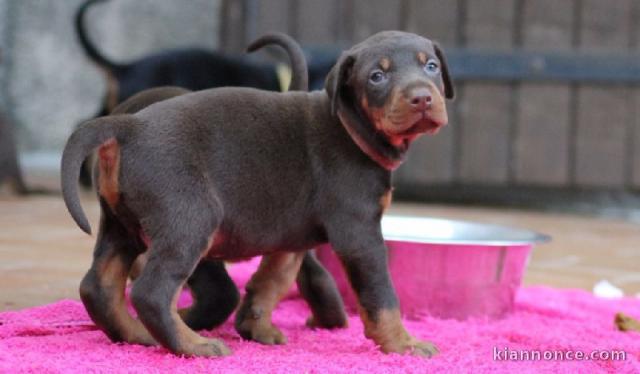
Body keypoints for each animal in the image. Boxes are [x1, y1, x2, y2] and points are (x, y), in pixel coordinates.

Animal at [58, 30, 450, 358]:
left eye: (430, 66)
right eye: (376, 76)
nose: (422, 98)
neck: (350, 127)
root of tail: (129, 125)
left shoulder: (291, 234)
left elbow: (272, 280)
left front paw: (255, 326)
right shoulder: (360, 233)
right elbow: (382, 296)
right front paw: (404, 344)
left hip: (121, 223)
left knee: (99, 286)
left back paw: (138, 336)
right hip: (189, 219)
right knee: (151, 292)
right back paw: (193, 344)